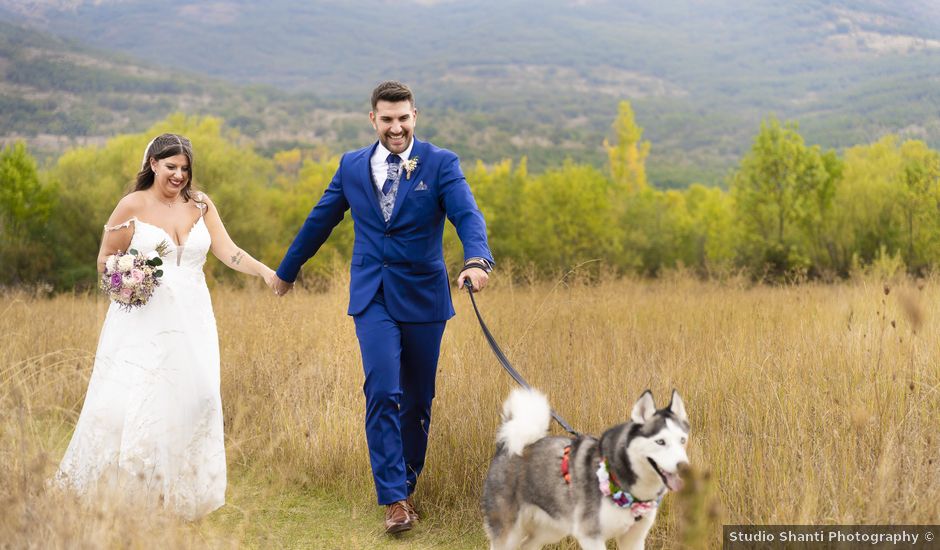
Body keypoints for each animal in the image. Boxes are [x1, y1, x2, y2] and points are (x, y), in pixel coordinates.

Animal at [482, 390, 688, 548]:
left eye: (683, 440)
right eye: (660, 442)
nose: (683, 466)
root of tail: (505, 446)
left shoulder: (634, 539)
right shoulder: (590, 536)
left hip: (551, 529)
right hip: (508, 533)